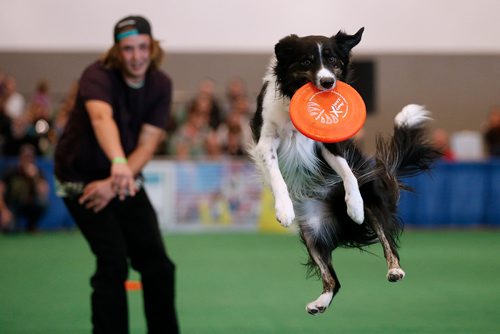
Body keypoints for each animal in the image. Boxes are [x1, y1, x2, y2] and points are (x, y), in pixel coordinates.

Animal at [248, 27, 440, 314]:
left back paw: (394, 269)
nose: (328, 82)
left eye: (333, 61)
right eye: (307, 61)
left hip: (372, 197)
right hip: (311, 229)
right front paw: (283, 210)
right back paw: (320, 303)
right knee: (332, 279)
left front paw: (354, 206)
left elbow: (348, 174)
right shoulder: (266, 141)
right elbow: (277, 176)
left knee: (387, 240)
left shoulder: (331, 146)